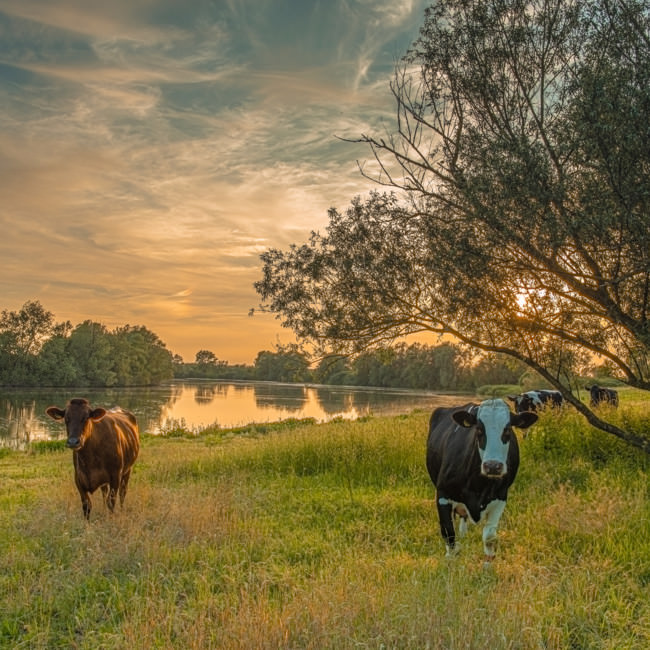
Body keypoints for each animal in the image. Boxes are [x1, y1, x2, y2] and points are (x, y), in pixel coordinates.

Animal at [422, 398, 536, 560]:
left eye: (507, 430)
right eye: (479, 430)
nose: (493, 466)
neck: (477, 487)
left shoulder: (500, 498)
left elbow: (489, 538)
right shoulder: (442, 494)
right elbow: (449, 534)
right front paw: (450, 561)